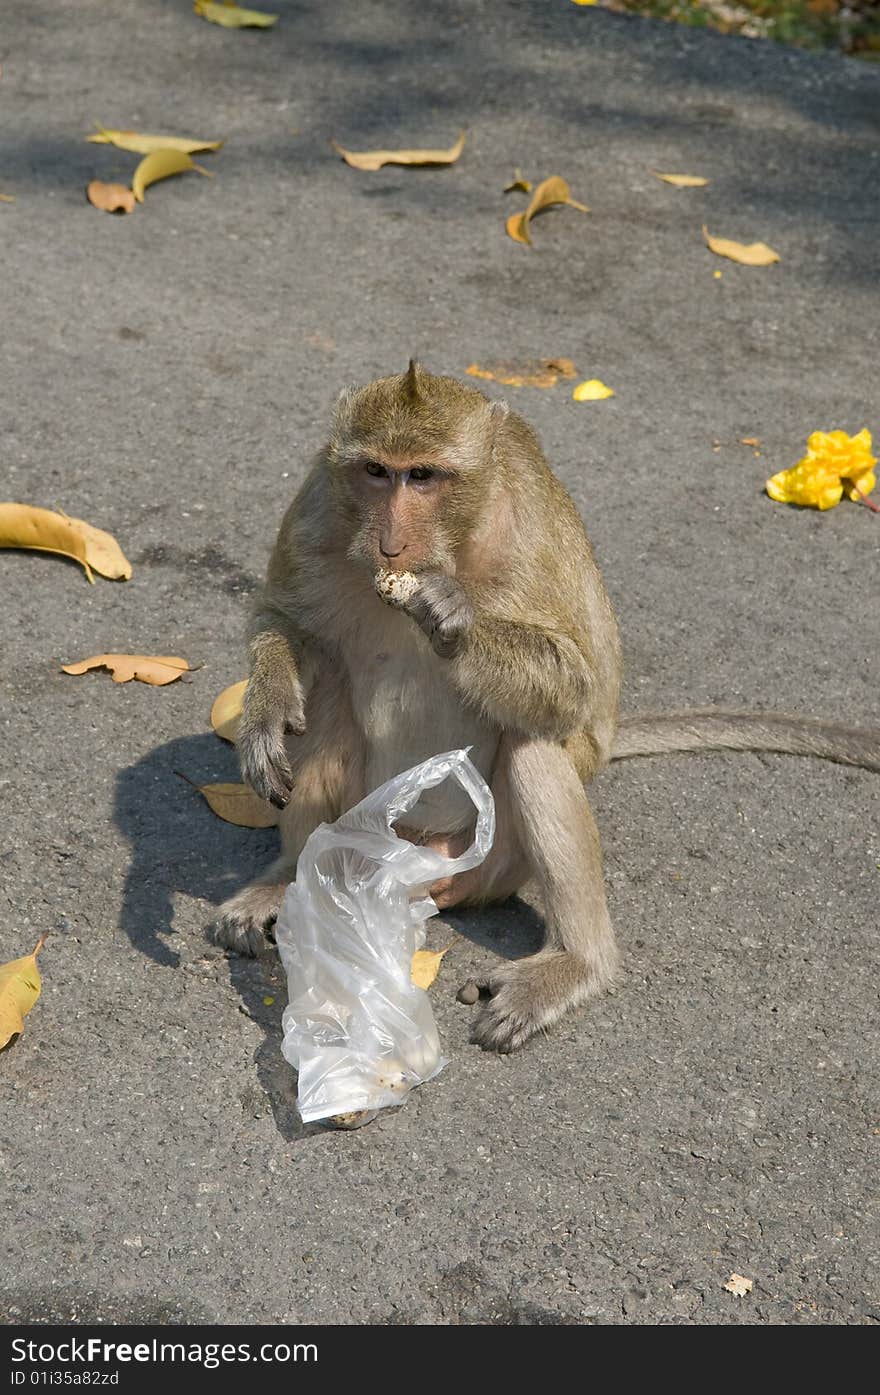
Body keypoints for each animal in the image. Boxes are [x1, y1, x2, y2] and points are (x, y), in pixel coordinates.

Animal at [214, 365, 880, 1049]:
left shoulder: (529, 527)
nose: (391, 541)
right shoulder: (318, 503)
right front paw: (265, 708)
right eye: (376, 471)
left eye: (423, 475)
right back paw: (291, 876)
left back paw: (577, 963)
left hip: (495, 861)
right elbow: (286, 622)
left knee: (533, 743)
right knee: (324, 703)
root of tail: (417, 863)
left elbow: (578, 683)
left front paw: (453, 617)